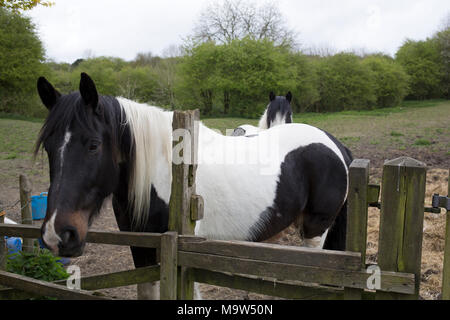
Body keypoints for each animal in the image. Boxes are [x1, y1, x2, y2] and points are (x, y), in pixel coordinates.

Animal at [36, 74, 352, 298]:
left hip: (315, 231)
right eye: (48, 148)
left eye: (93, 145)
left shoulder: (185, 253)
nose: (57, 234)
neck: (164, 172)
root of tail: (335, 144)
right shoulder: (141, 246)